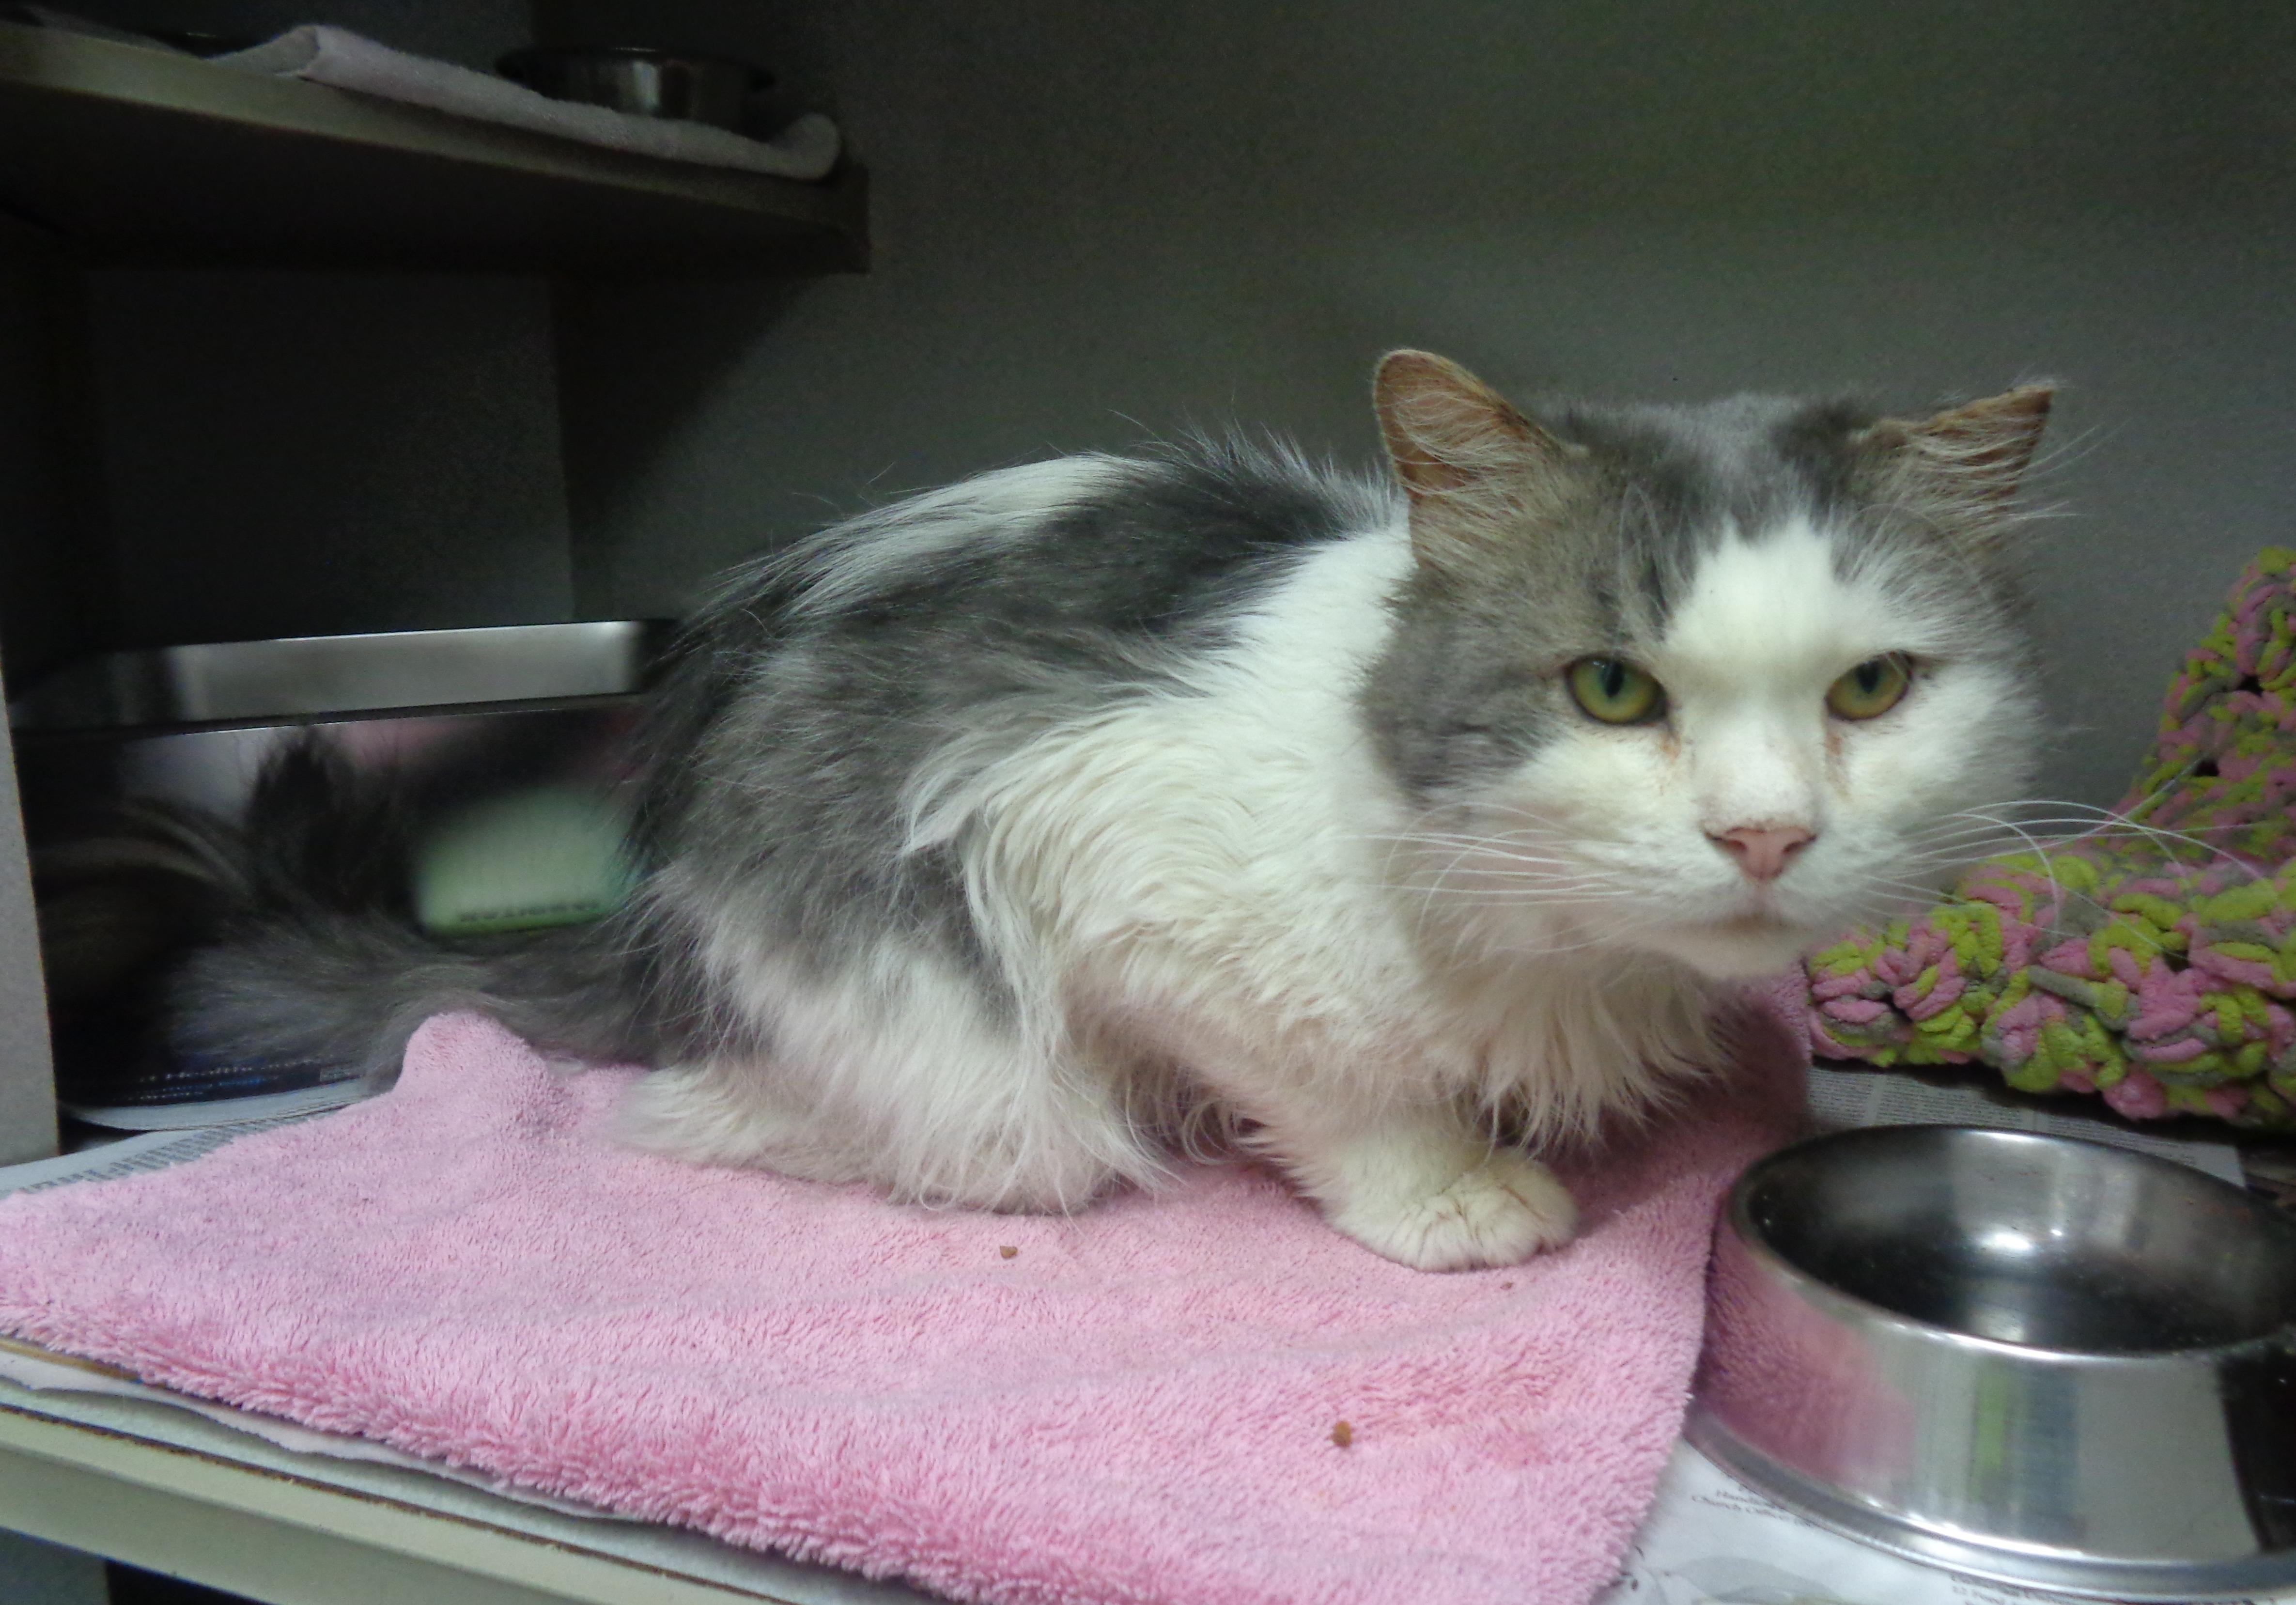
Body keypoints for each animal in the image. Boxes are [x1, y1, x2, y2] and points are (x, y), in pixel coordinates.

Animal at [170, 351, 2053, 1271]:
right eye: (1610, 690)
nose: (1763, 836)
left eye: (1869, 693)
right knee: (806, 1118)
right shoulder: (1103, 862)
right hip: (942, 1044)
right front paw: (1452, 1194)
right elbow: (1333, 1092)